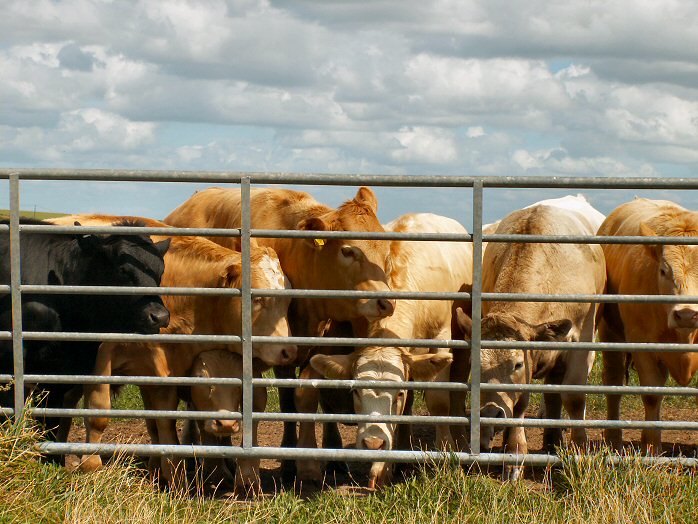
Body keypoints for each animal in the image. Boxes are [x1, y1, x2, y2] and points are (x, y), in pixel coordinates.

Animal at [308, 212, 468, 488]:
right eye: (355, 392)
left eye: (398, 394)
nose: (374, 443)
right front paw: (382, 468)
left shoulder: (442, 334)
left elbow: (438, 402)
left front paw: (448, 459)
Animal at [596, 199, 696, 452]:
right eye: (663, 270)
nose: (687, 315)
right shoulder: (642, 343)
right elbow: (651, 394)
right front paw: (651, 445)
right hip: (610, 332)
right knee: (613, 383)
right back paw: (613, 437)